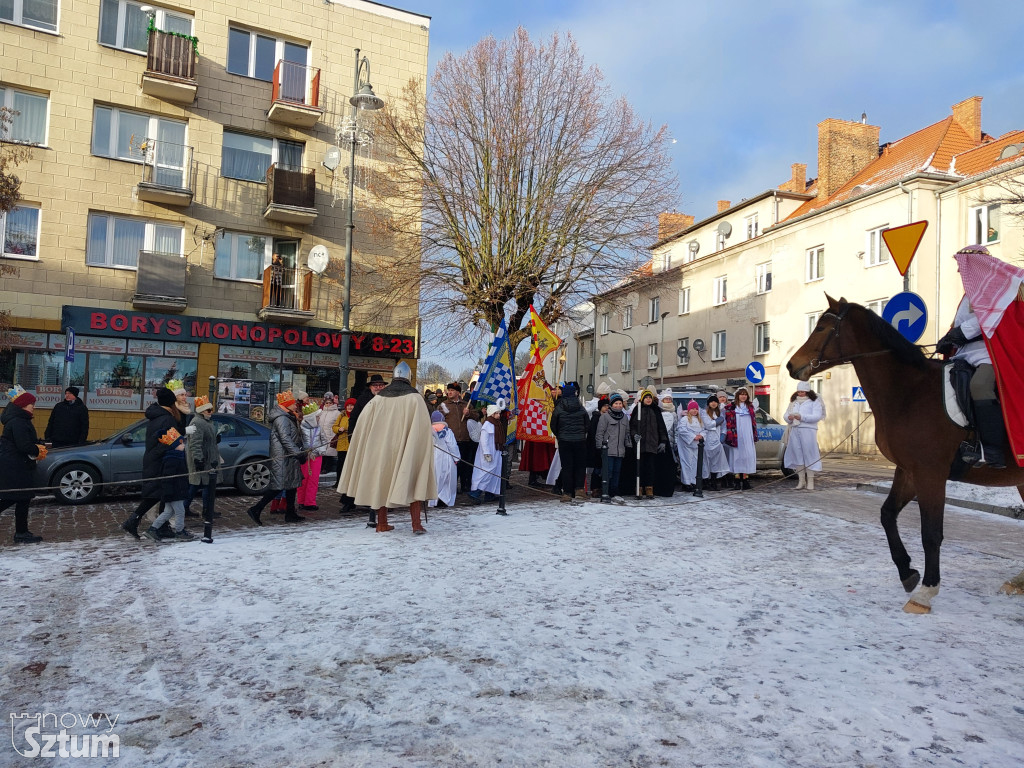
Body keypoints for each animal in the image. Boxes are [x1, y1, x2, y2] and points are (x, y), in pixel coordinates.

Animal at [782, 294, 1024, 614]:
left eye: (821, 328)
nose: (791, 365)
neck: (908, 391)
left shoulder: (930, 474)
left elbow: (931, 533)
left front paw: (925, 592)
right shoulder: (908, 471)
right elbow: (887, 514)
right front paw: (907, 572)